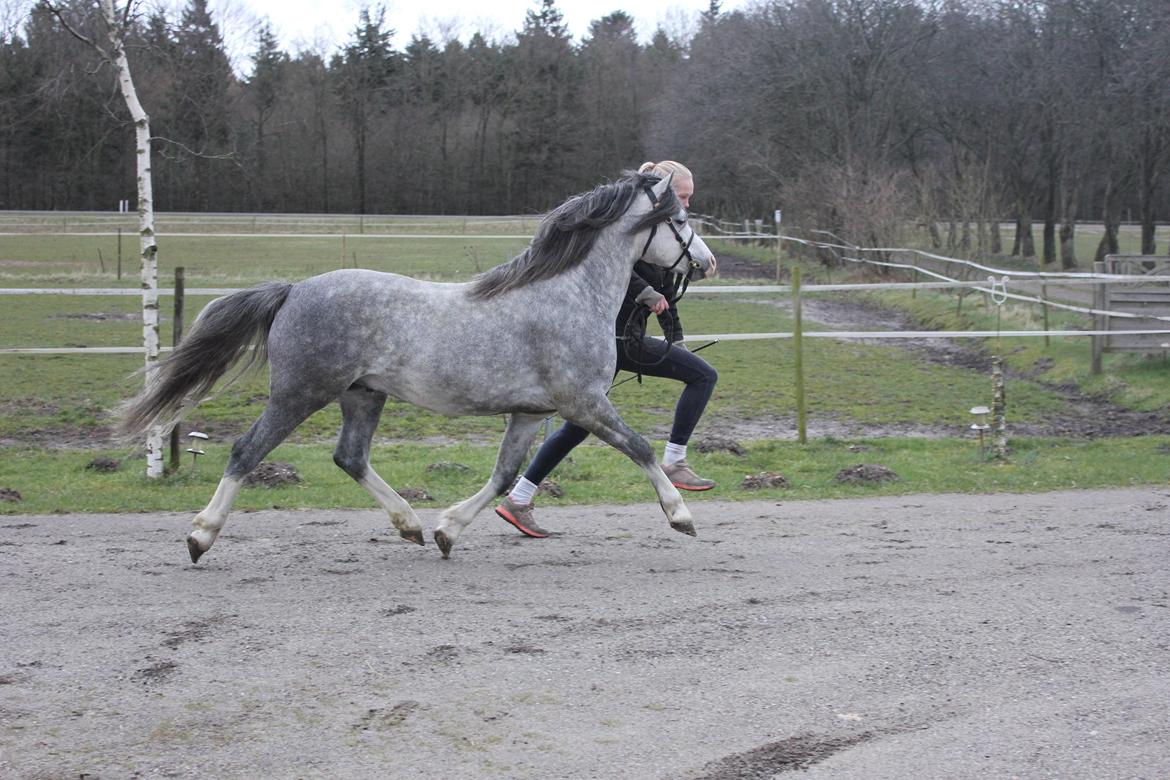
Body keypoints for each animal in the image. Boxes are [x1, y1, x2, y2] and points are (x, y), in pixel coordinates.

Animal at [119, 172, 716, 561]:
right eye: (681, 218)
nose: (707, 262)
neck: (569, 294)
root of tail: (292, 291)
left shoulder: (530, 412)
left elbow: (504, 475)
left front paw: (449, 529)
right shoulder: (584, 402)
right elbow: (639, 448)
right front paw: (681, 517)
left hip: (363, 394)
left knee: (350, 457)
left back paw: (410, 526)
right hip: (299, 393)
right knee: (246, 452)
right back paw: (200, 537)